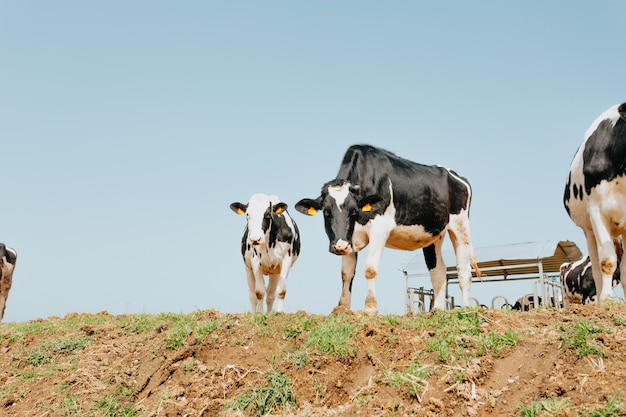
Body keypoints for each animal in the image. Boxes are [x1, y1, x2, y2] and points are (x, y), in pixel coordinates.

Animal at [292, 143, 478, 312]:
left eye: (353, 210)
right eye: (326, 211)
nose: (339, 247)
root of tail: (456, 176)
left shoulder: (379, 228)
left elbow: (370, 269)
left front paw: (370, 308)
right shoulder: (349, 237)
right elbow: (346, 272)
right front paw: (342, 308)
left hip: (460, 226)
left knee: (464, 270)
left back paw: (466, 308)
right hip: (434, 234)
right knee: (439, 271)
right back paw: (437, 311)